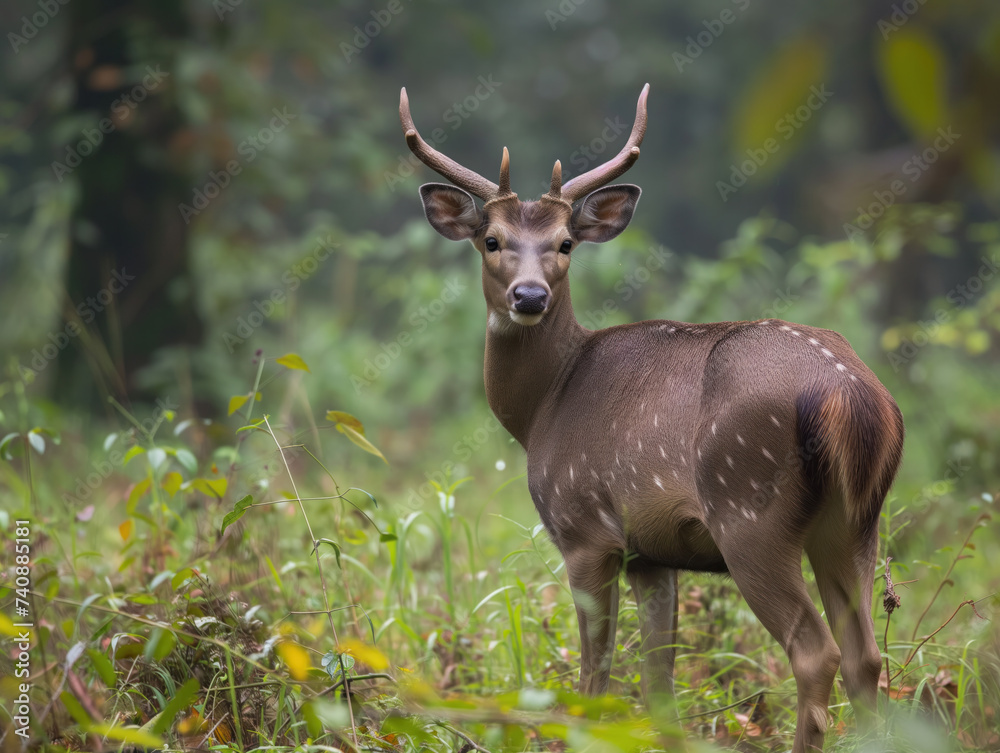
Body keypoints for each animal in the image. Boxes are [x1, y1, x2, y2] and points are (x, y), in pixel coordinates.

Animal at [400, 83, 908, 752]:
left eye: (565, 243)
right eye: (492, 240)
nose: (530, 296)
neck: (542, 408)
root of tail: (852, 397)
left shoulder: (585, 528)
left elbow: (594, 678)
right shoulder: (653, 552)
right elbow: (658, 687)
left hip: (749, 511)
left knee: (814, 652)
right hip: (854, 521)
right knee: (866, 657)